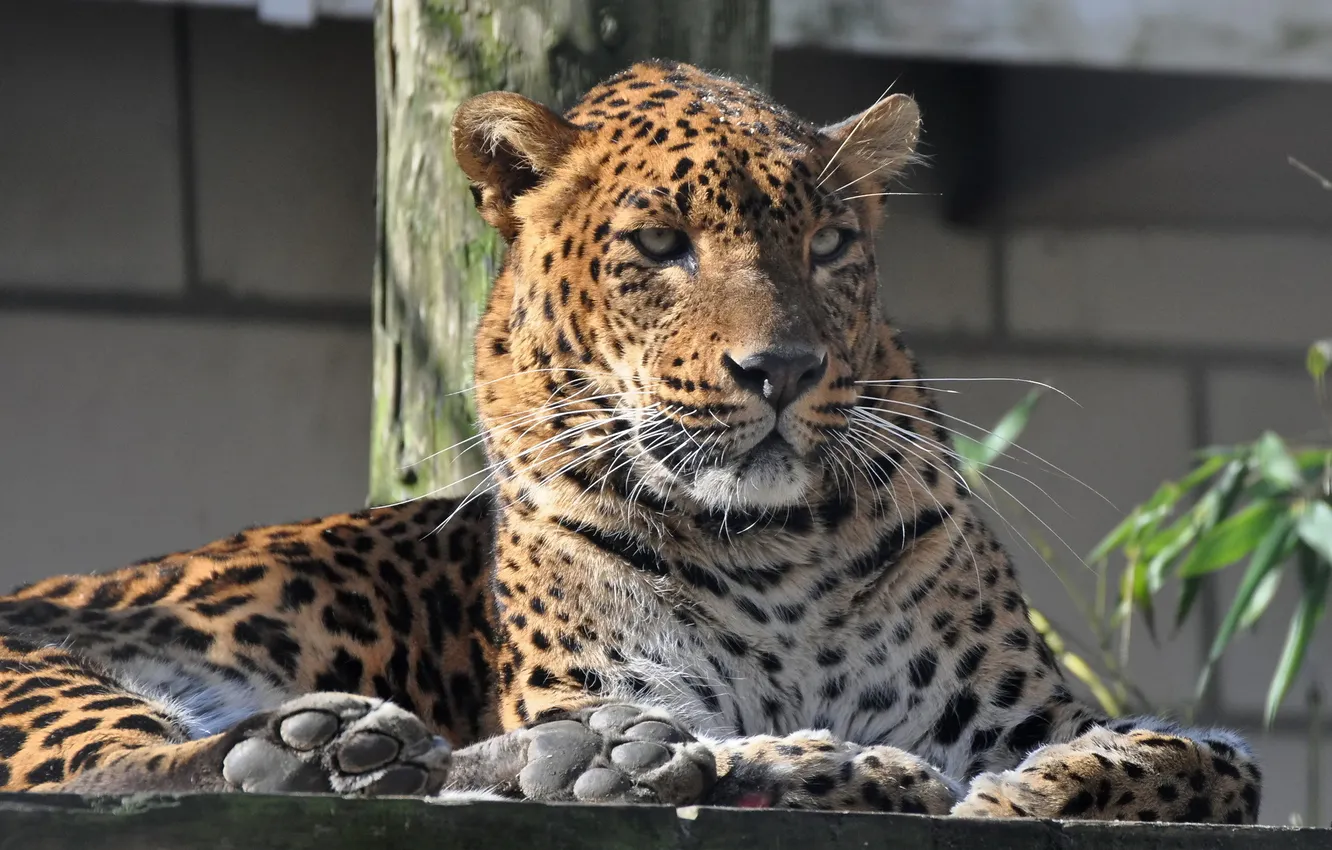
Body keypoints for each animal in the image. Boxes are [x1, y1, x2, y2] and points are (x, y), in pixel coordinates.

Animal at [0, 59, 1260, 824]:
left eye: (831, 245)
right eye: (659, 244)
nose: (781, 371)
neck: (769, 543)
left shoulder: (1024, 705)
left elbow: (1210, 758)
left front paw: (1025, 793)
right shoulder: (600, 676)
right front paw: (840, 767)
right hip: (47, 674)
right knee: (118, 775)